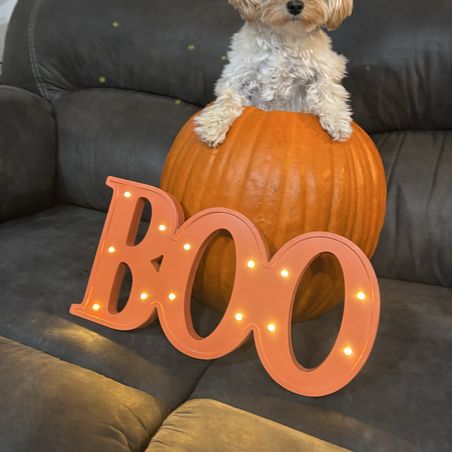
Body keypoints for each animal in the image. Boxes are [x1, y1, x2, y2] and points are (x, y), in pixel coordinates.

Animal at [195, 0, 354, 148]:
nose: (295, 5)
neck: (284, 35)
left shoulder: (327, 68)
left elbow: (327, 92)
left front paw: (338, 121)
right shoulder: (238, 73)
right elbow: (227, 99)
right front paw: (213, 125)